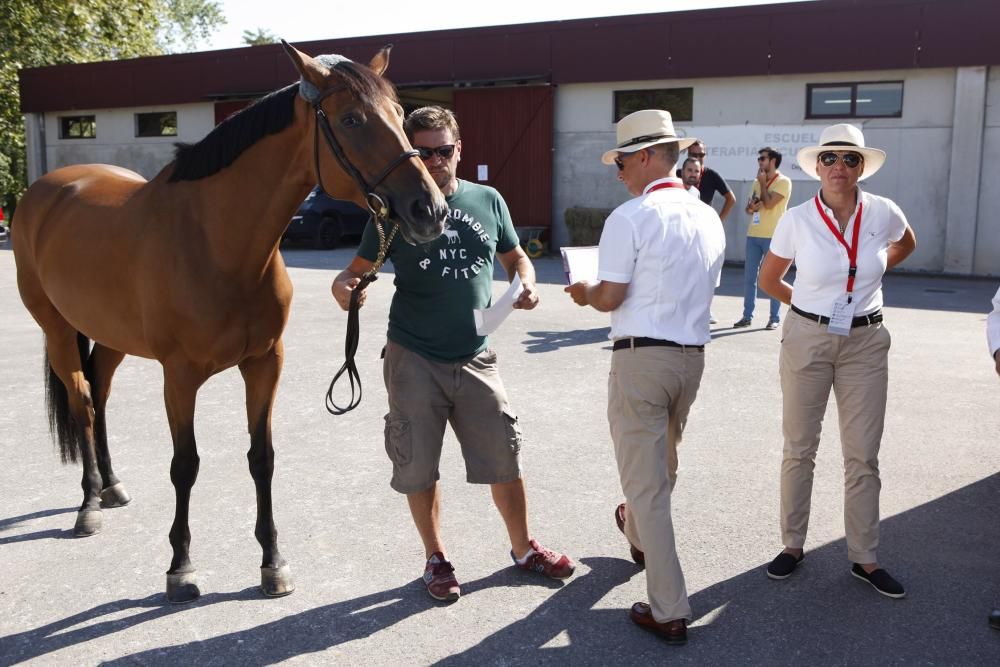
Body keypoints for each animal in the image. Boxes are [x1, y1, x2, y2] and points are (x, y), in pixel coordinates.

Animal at [11, 41, 448, 604]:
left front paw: (272, 563)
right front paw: (180, 568)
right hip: (57, 329)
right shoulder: (179, 378)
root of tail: (46, 190)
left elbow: (262, 457)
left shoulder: (264, 364)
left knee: (100, 396)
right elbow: (185, 466)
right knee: (83, 402)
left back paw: (111, 487)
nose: (430, 210)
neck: (216, 241)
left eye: (399, 114)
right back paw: (88, 505)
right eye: (351, 119)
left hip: (112, 336)